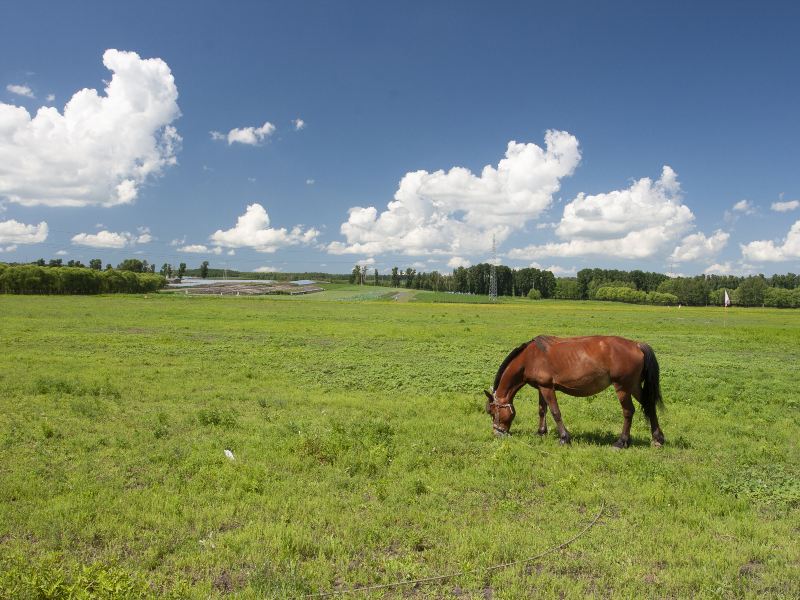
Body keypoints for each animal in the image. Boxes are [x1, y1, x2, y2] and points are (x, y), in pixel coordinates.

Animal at [484, 336, 664, 448]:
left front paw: (564, 438)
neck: (529, 358)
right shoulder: (541, 387)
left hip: (623, 387)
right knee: (649, 405)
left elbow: (555, 412)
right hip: (634, 386)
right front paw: (541, 433)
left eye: (492, 412)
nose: (496, 433)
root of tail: (636, 344)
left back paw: (621, 442)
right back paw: (658, 439)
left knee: (628, 411)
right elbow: (542, 410)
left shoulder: (548, 388)